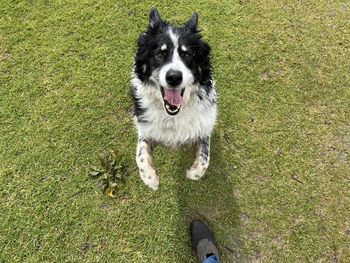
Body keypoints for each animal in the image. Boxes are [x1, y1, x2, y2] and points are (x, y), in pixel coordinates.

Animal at [131, 7, 216, 190]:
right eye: (159, 54)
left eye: (187, 54)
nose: (174, 77)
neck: (172, 116)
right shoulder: (145, 127)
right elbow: (140, 155)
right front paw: (150, 178)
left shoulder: (204, 125)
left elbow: (205, 158)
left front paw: (193, 172)